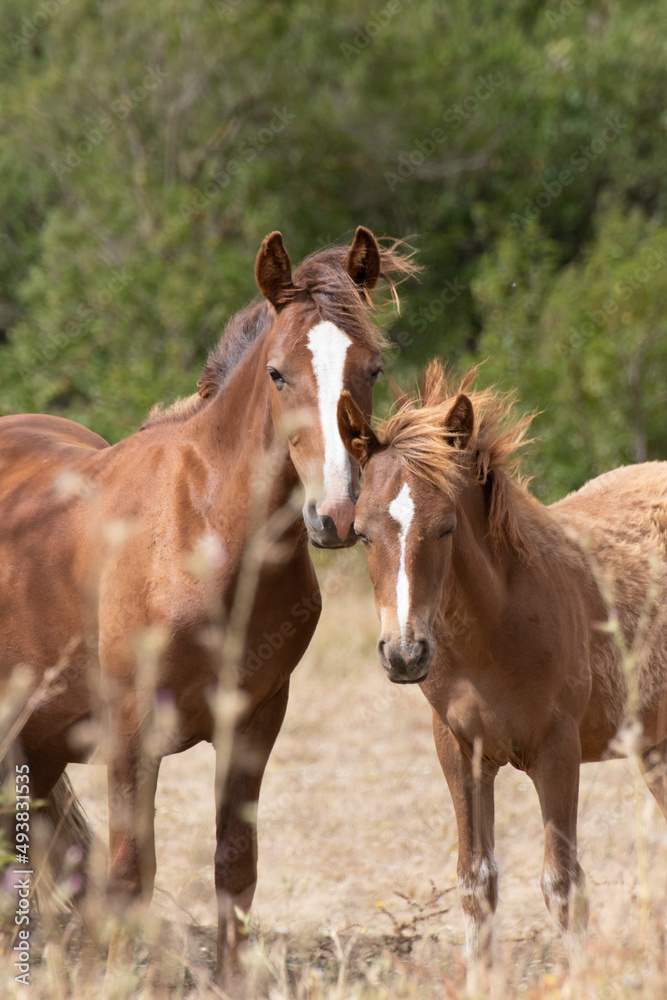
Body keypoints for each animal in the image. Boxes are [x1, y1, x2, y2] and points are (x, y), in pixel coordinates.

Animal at [0, 227, 418, 984]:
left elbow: (234, 866)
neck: (205, 535)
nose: (336, 515)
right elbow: (131, 874)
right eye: (278, 373)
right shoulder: (132, 732)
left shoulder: (254, 721)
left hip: (36, 745)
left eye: (371, 369)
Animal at [340, 360, 667, 960]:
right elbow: (477, 885)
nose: (404, 654)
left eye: (446, 527)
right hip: (655, 746)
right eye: (362, 533)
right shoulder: (458, 752)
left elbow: (563, 887)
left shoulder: (557, 751)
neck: (489, 637)